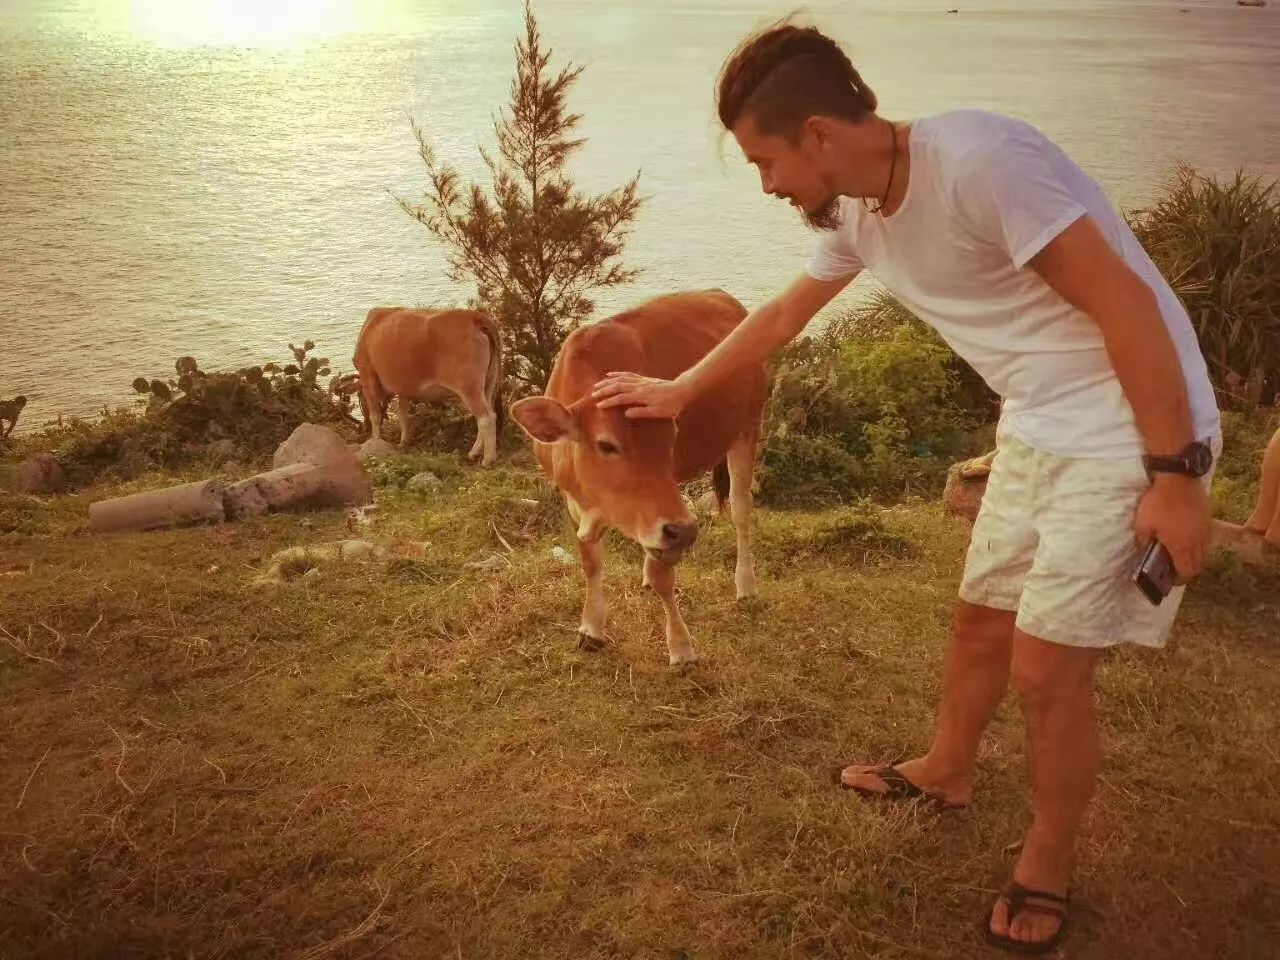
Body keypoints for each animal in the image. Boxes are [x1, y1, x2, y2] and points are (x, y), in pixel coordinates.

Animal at [358, 304, 506, 463]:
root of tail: (473, 316)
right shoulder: (403, 388)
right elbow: (403, 414)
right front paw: (403, 442)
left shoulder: (367, 374)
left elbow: (375, 415)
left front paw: (375, 442)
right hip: (489, 382)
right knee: (486, 415)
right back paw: (474, 452)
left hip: (469, 388)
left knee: (486, 417)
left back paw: (488, 459)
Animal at [512, 293, 768, 665]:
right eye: (606, 445)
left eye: (672, 437)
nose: (684, 532)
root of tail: (724, 297)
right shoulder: (576, 503)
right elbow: (590, 563)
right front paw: (591, 629)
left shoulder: (666, 517)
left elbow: (665, 577)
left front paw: (681, 647)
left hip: (747, 426)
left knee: (740, 509)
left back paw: (746, 585)